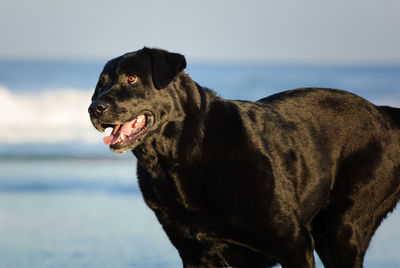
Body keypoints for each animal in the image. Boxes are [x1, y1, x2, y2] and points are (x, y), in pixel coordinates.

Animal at [89, 48, 400, 268]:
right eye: (101, 85)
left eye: (132, 78)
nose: (94, 108)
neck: (179, 159)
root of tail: (384, 113)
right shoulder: (195, 255)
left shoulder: (295, 245)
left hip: (342, 229)